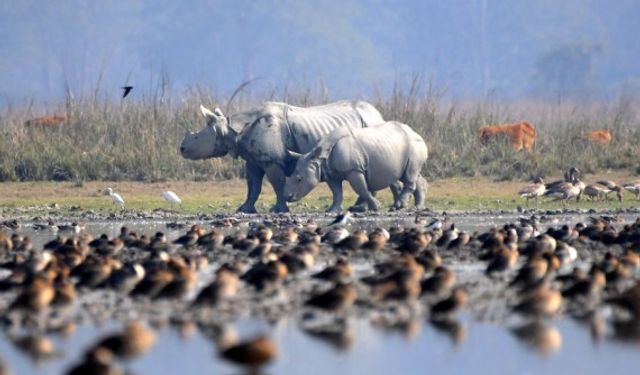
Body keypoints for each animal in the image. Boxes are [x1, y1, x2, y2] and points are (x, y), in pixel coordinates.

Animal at [286, 122, 430, 213]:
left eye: (299, 179)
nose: (288, 196)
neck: (320, 157)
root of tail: (417, 133)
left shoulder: (354, 169)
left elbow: (361, 188)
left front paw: (375, 207)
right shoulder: (331, 173)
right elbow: (337, 192)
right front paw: (332, 210)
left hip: (414, 145)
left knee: (409, 174)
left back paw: (399, 206)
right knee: (412, 174)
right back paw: (415, 208)